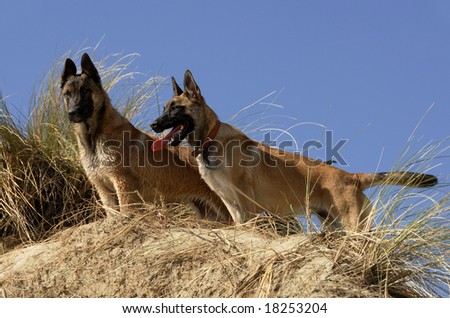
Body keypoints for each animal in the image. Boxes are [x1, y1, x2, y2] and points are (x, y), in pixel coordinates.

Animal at [60, 52, 229, 221]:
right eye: (67, 94)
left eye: (84, 90)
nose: (72, 113)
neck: (93, 137)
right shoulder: (103, 188)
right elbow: (113, 213)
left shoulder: (122, 182)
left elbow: (125, 211)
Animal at [149, 70, 438, 231]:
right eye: (164, 108)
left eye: (175, 108)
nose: (153, 125)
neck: (211, 139)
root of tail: (353, 177)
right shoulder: (232, 205)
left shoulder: (246, 203)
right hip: (337, 227)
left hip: (353, 226)